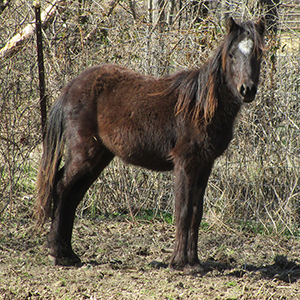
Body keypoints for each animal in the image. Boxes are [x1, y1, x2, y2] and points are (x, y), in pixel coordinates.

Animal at [35, 17, 264, 272]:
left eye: (258, 53)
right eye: (232, 54)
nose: (247, 90)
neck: (200, 106)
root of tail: (71, 87)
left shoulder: (204, 165)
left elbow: (196, 213)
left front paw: (194, 262)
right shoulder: (185, 164)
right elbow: (183, 211)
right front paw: (180, 263)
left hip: (98, 158)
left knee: (72, 195)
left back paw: (70, 254)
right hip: (84, 154)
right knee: (62, 188)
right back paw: (57, 253)